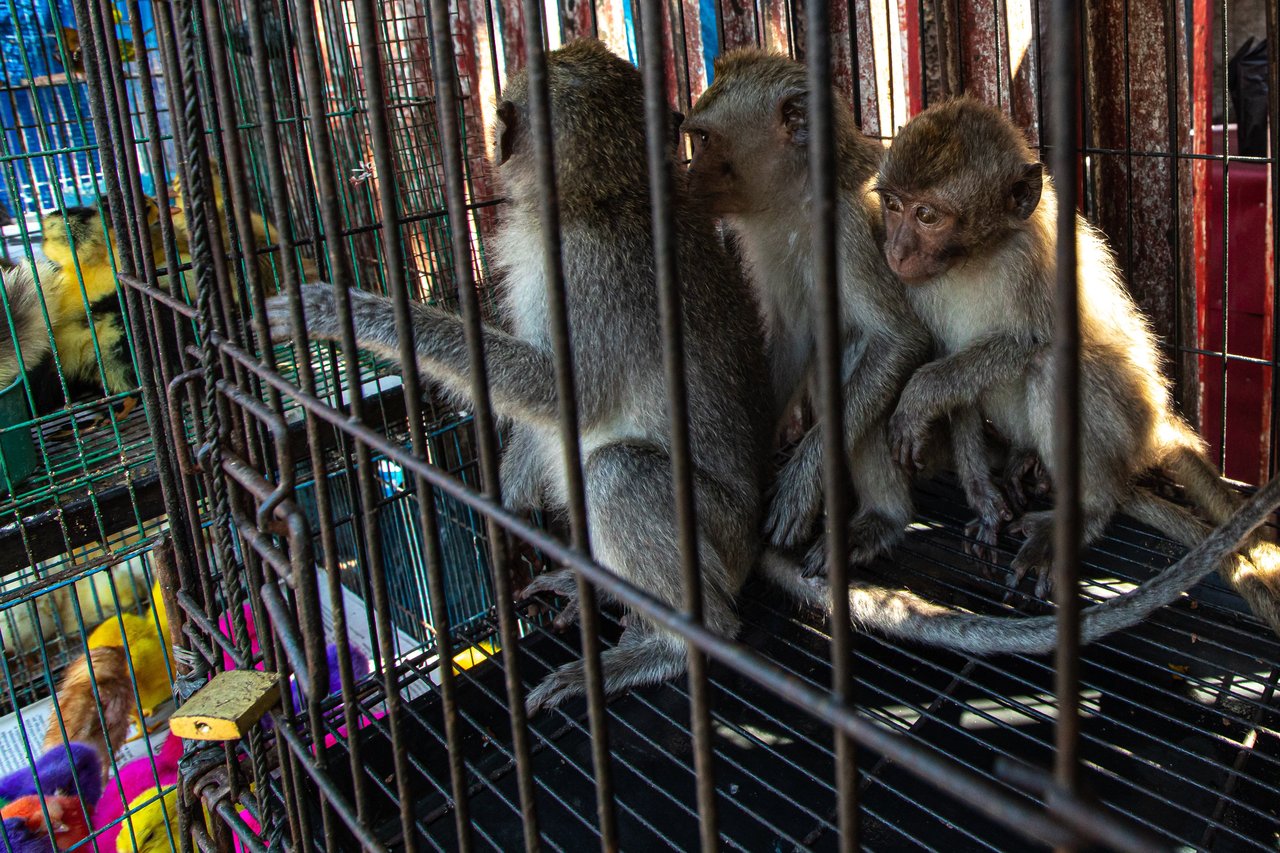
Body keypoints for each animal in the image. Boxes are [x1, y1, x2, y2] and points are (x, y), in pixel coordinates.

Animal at [264, 38, 773, 701]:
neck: (607, 195)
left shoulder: (589, 272)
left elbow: (564, 395)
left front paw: (350, 314)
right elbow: (542, 412)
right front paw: (499, 507)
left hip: (718, 534)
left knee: (617, 471)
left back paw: (671, 644)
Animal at [880, 96, 1280, 635]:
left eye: (926, 215)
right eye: (893, 205)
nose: (896, 250)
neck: (977, 256)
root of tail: (1158, 423)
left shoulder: (1035, 258)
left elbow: (1031, 342)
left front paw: (919, 393)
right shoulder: (922, 287)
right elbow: (952, 367)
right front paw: (982, 496)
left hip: (1126, 423)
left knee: (1051, 366)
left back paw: (1084, 513)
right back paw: (1025, 461)